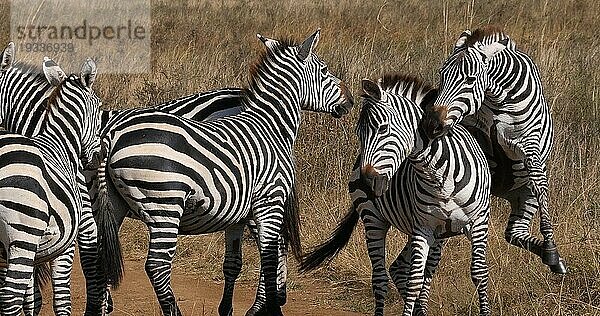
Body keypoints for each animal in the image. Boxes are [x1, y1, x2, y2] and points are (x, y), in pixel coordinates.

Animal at [95, 28, 354, 314]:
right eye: (325, 70)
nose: (351, 101)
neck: (270, 126)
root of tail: (112, 136)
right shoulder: (270, 201)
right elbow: (269, 259)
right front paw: (269, 307)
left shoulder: (239, 213)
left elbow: (235, 262)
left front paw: (233, 308)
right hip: (164, 204)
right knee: (157, 266)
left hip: (115, 204)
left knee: (104, 257)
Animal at [300, 74, 492, 316]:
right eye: (358, 134)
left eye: (383, 129)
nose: (366, 183)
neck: (439, 176)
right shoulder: (423, 228)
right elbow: (415, 282)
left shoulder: (478, 224)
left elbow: (479, 275)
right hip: (374, 219)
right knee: (382, 278)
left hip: (438, 234)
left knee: (403, 270)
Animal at [422, 25, 568, 274]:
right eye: (442, 75)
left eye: (470, 80)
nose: (433, 125)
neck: (498, 98)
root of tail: (504, 193)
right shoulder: (477, 137)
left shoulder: (530, 145)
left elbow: (541, 188)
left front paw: (550, 248)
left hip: (524, 195)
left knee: (516, 230)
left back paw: (552, 258)